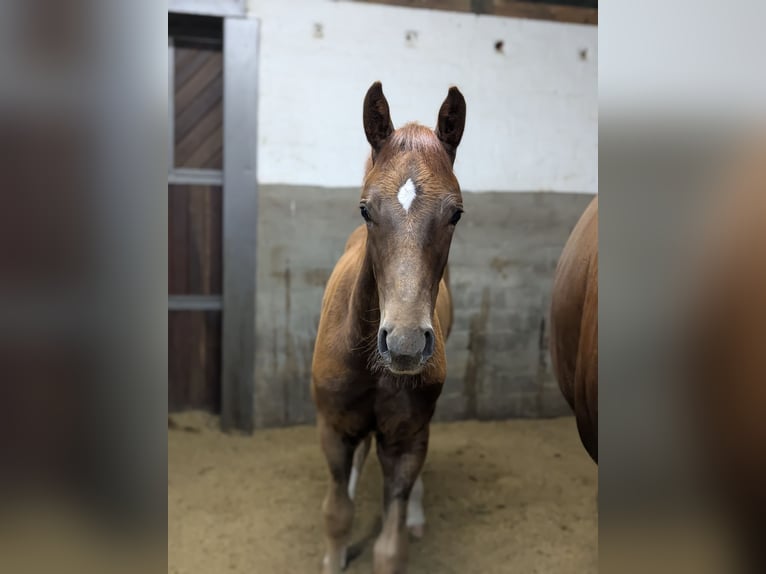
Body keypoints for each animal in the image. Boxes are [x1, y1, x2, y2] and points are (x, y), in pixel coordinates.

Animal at [311, 81, 466, 574]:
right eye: (366, 209)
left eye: (455, 214)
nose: (404, 344)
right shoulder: (334, 428)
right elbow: (337, 513)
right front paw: (335, 558)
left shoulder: (406, 438)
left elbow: (390, 546)